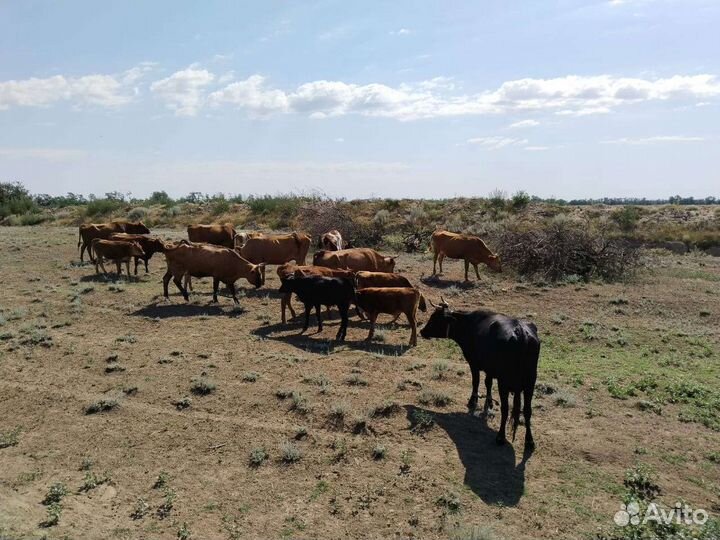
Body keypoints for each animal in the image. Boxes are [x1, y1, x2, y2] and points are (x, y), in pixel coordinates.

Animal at [419, 298, 540, 449]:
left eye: (435, 318)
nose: (422, 331)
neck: (469, 325)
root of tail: (520, 330)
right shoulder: (489, 369)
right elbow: (487, 383)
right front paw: (489, 402)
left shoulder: (474, 363)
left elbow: (476, 381)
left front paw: (473, 401)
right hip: (530, 382)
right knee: (528, 410)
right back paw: (529, 441)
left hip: (504, 383)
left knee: (506, 409)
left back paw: (500, 437)